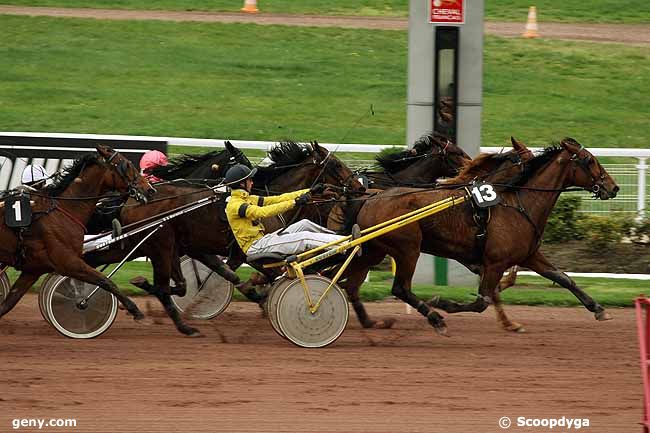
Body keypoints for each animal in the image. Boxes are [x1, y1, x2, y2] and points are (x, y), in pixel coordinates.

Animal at [0, 145, 154, 320]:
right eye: (127, 164)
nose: (150, 189)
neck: (62, 211)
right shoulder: (68, 262)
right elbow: (105, 281)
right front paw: (133, 309)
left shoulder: (32, 270)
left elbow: (6, 305)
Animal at [336, 138, 616, 334]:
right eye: (589, 160)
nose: (612, 187)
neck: (517, 203)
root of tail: (368, 199)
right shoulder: (494, 262)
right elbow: (483, 300)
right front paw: (444, 303)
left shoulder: (528, 256)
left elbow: (563, 278)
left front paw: (599, 309)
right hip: (408, 249)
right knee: (400, 288)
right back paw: (435, 319)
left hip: (373, 250)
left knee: (351, 284)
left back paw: (371, 321)